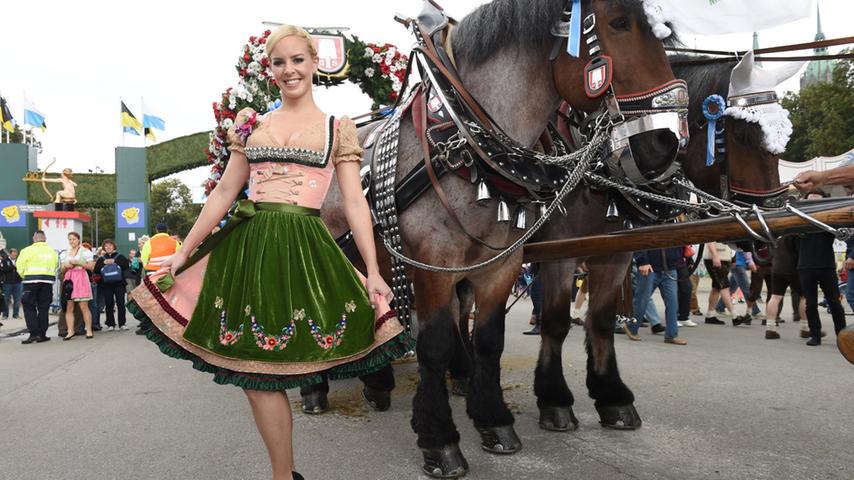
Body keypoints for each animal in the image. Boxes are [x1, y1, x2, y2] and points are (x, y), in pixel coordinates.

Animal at [320, 0, 684, 476]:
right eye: (619, 23)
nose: (664, 144)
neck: (461, 143)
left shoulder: (506, 264)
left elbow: (492, 341)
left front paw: (493, 420)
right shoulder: (436, 262)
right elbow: (434, 346)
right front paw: (440, 440)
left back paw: (381, 381)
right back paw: (319, 388)